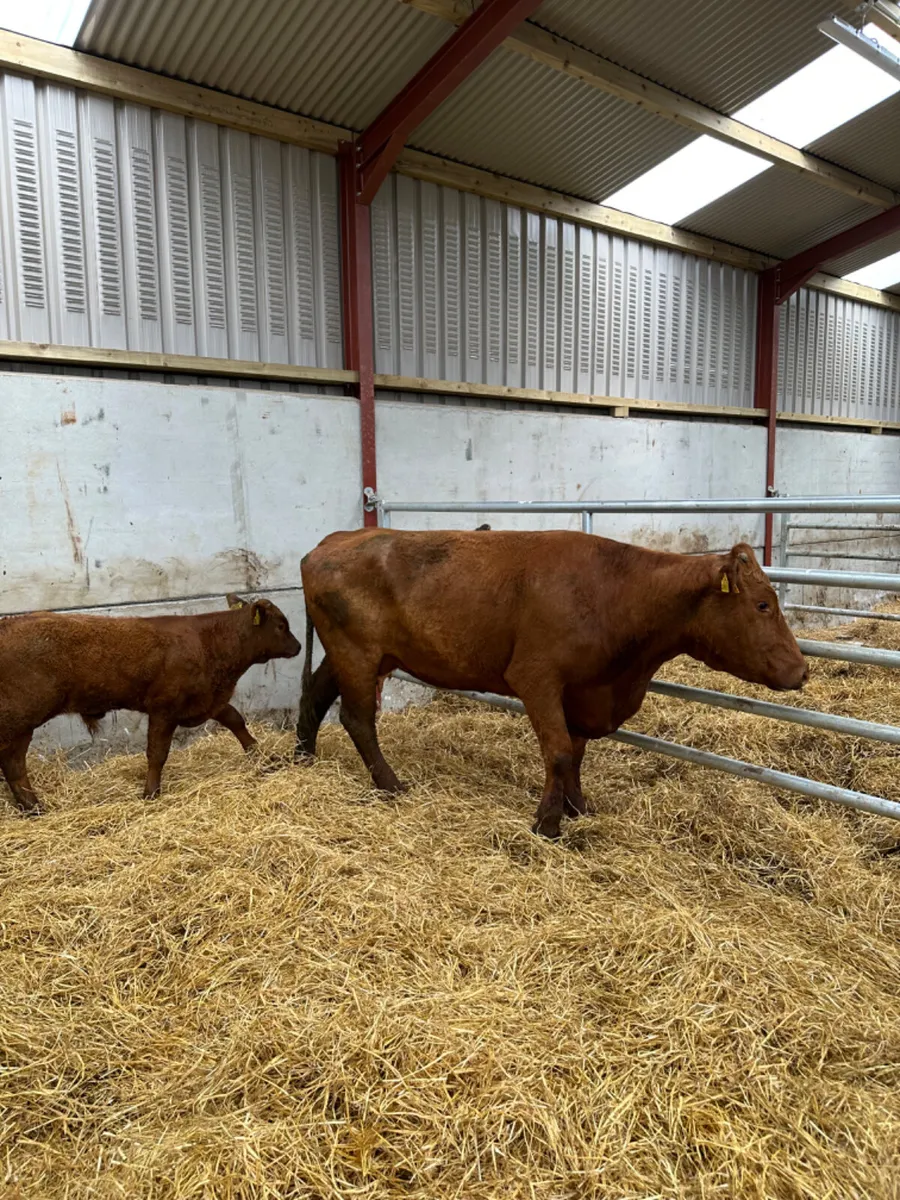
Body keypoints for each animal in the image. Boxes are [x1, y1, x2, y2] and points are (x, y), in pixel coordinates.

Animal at [0, 594, 301, 815]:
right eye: (281, 625)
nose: (298, 647)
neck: (209, 641)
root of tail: (9, 624)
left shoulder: (207, 701)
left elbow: (235, 720)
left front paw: (263, 755)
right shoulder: (164, 709)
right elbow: (157, 753)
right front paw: (150, 793)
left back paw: (30, 807)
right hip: (20, 720)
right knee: (13, 762)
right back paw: (34, 806)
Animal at [295, 529, 807, 839]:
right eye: (763, 604)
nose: (802, 670)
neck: (615, 593)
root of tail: (336, 538)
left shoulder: (583, 692)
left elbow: (576, 755)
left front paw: (578, 807)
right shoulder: (536, 678)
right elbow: (558, 751)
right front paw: (548, 822)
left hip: (352, 654)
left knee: (314, 697)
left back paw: (303, 758)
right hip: (358, 653)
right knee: (357, 717)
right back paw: (389, 784)